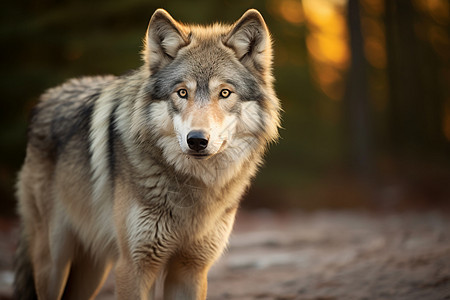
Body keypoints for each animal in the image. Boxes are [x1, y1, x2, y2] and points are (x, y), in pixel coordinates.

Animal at [14, 8, 280, 298]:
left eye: (224, 93)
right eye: (182, 92)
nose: (197, 140)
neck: (193, 186)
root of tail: (43, 100)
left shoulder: (191, 270)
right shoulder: (133, 266)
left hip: (93, 271)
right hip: (54, 263)